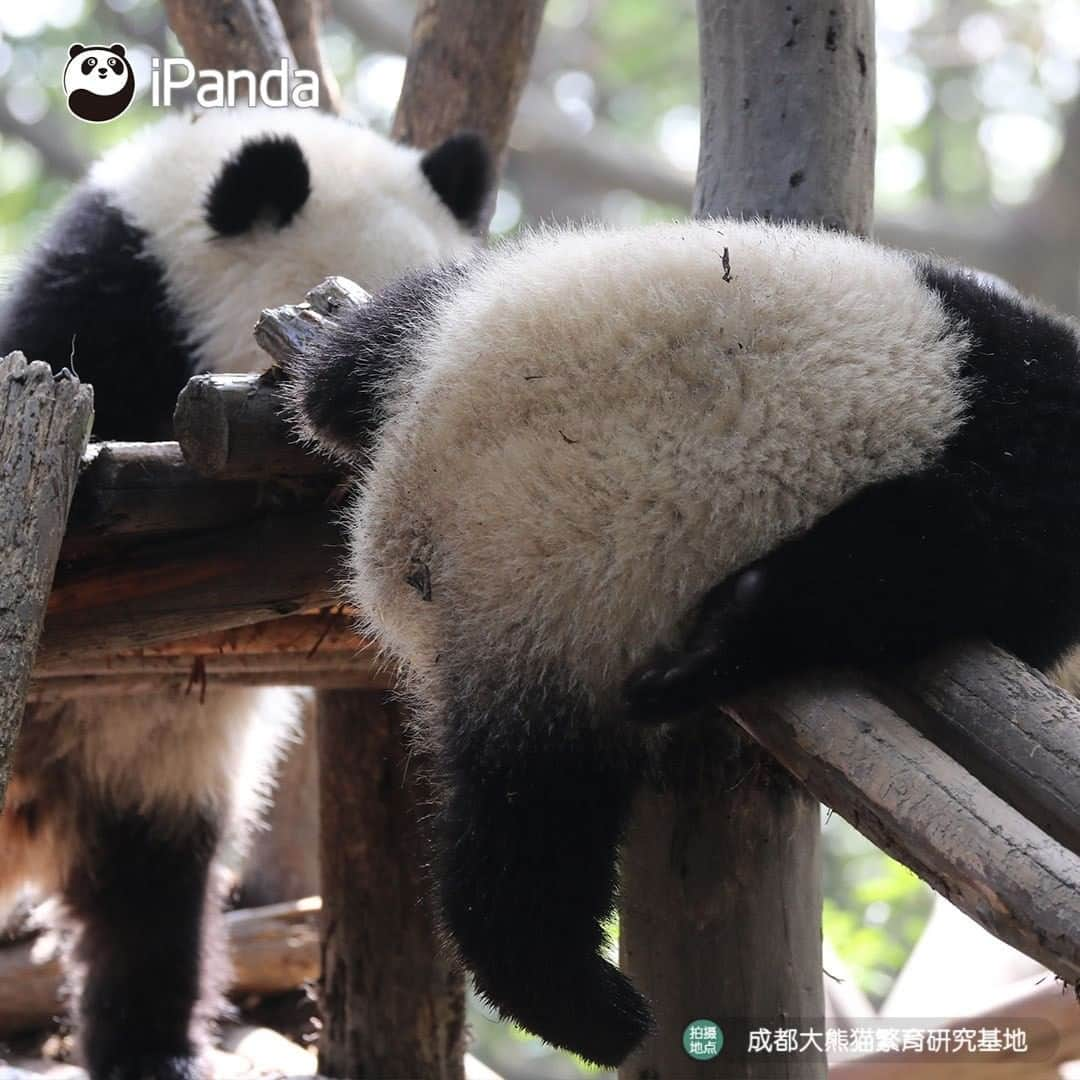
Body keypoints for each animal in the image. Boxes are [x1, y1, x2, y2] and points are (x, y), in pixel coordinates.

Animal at [276, 219, 1080, 1062]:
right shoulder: (1029, 478)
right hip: (566, 598)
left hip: (489, 304)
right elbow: (942, 566)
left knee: (357, 354)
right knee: (537, 819)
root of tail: (412, 507)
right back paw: (589, 1004)